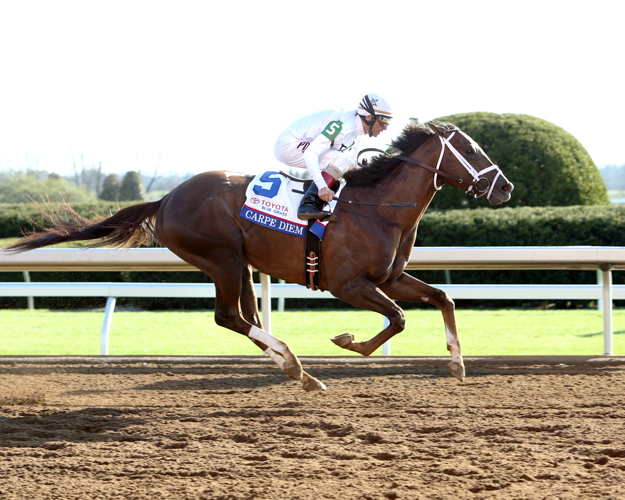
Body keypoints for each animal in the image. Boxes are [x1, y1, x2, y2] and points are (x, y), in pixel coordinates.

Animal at [4, 121, 512, 390]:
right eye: (471, 149)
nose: (505, 187)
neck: (378, 207)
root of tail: (166, 199)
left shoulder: (388, 278)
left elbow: (442, 297)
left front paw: (457, 363)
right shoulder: (348, 283)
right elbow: (398, 319)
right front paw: (347, 341)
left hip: (240, 264)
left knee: (244, 316)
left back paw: (293, 367)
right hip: (223, 258)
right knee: (229, 316)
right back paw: (295, 365)